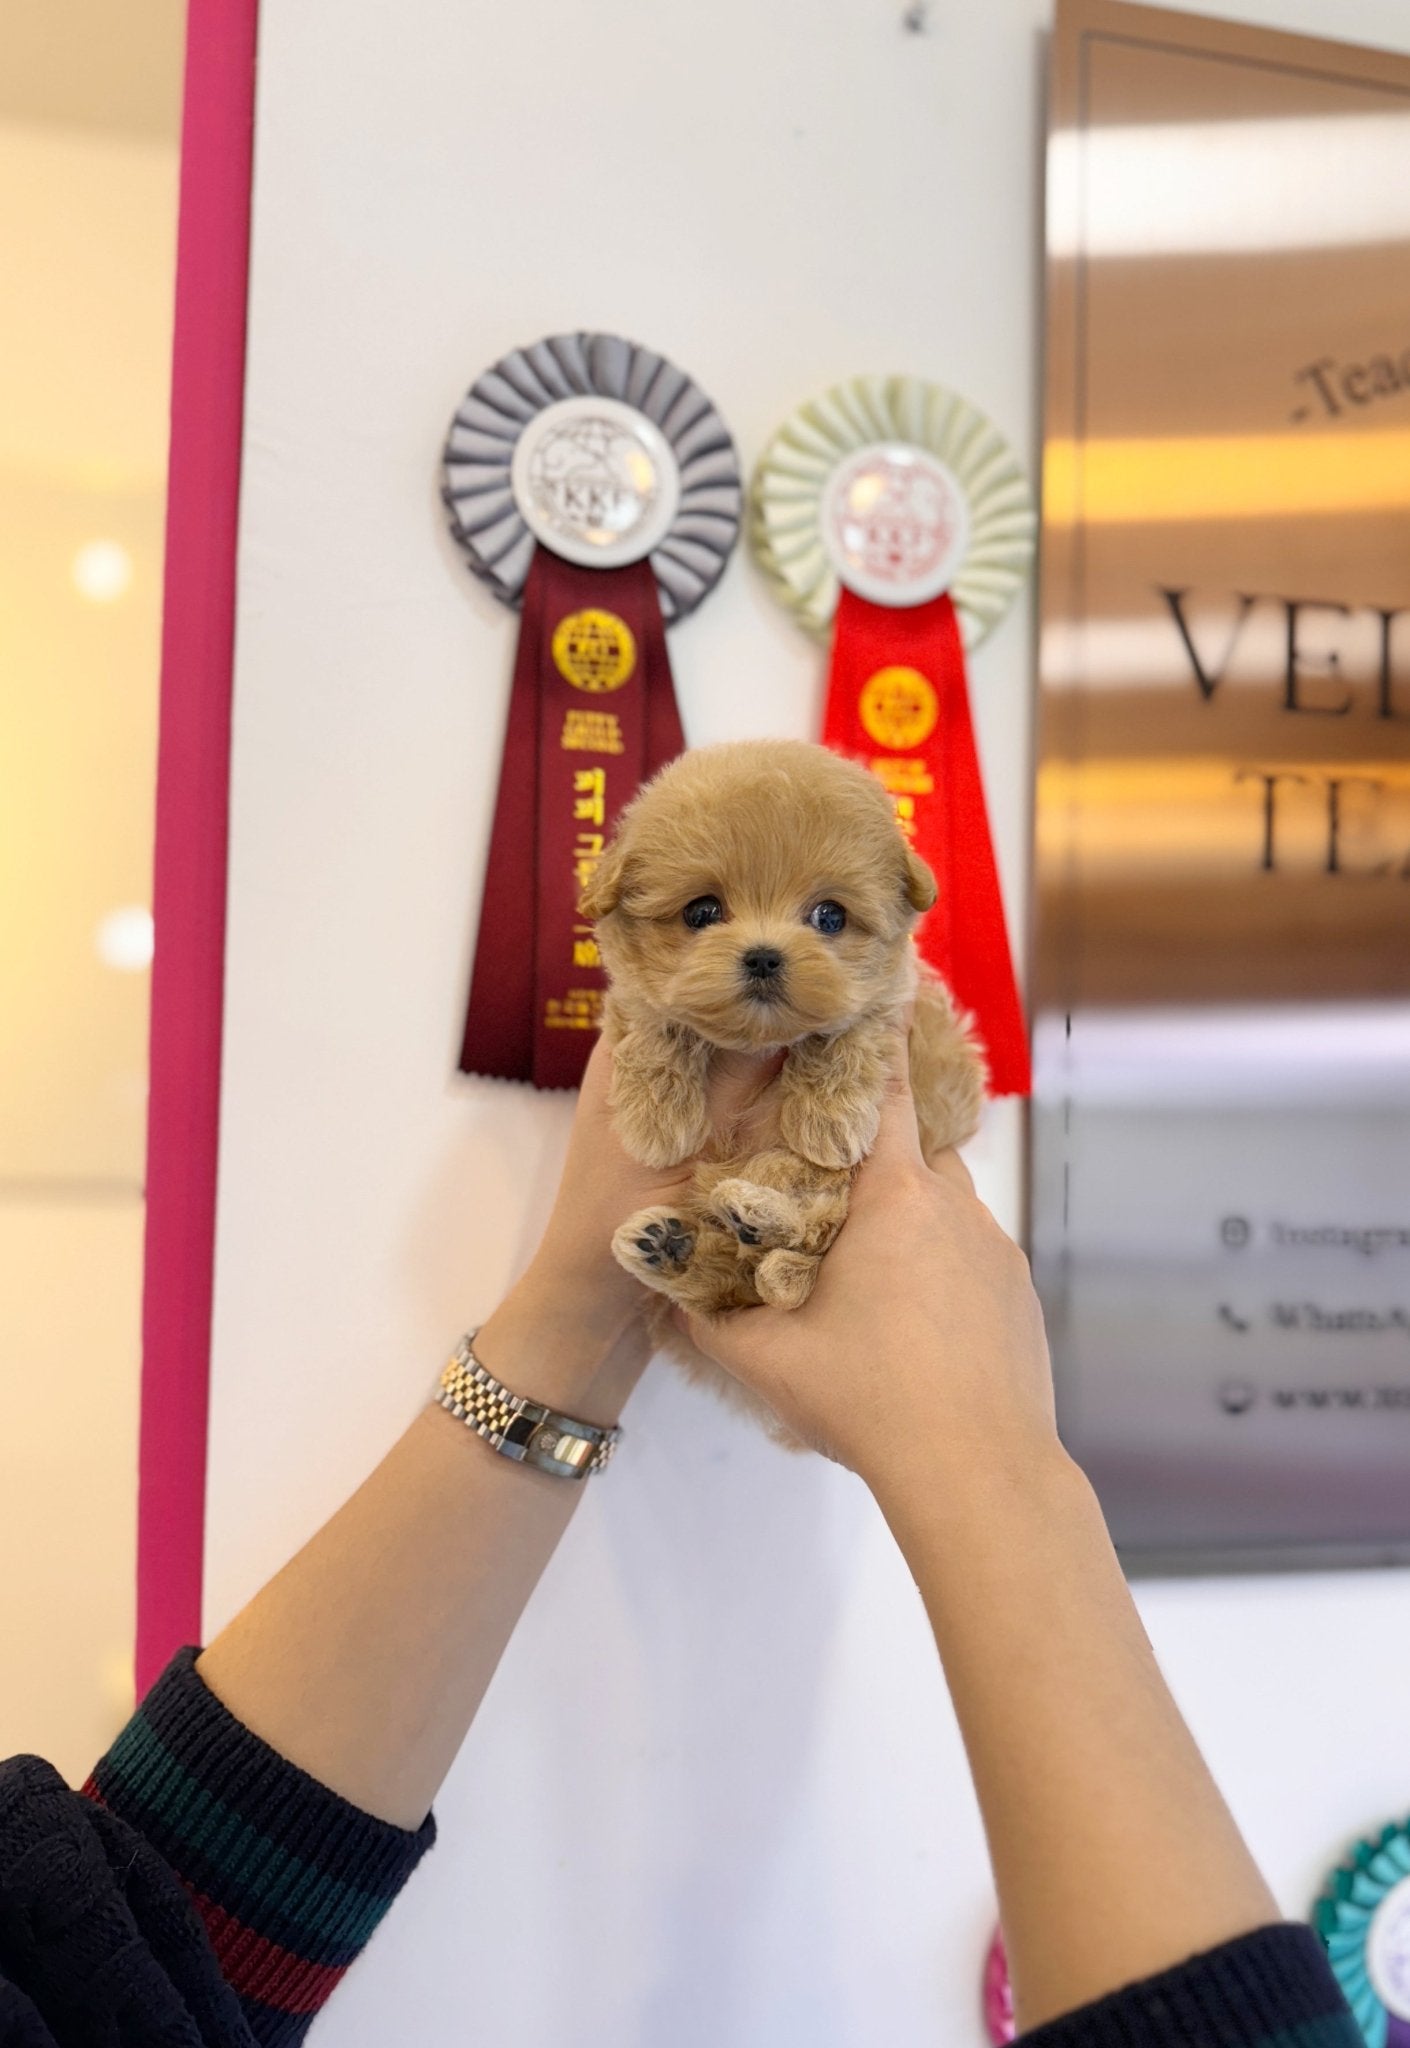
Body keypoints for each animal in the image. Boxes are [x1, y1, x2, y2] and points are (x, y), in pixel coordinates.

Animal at [577, 737, 987, 1376]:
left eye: (830, 916)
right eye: (701, 912)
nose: (765, 956)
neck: (756, 1040)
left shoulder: (897, 1009)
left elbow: (847, 1032)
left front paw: (829, 1119)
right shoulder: (632, 998)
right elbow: (654, 1021)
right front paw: (657, 1120)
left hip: (819, 1193)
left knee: (803, 1239)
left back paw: (752, 1217)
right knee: (730, 1278)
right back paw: (671, 1247)